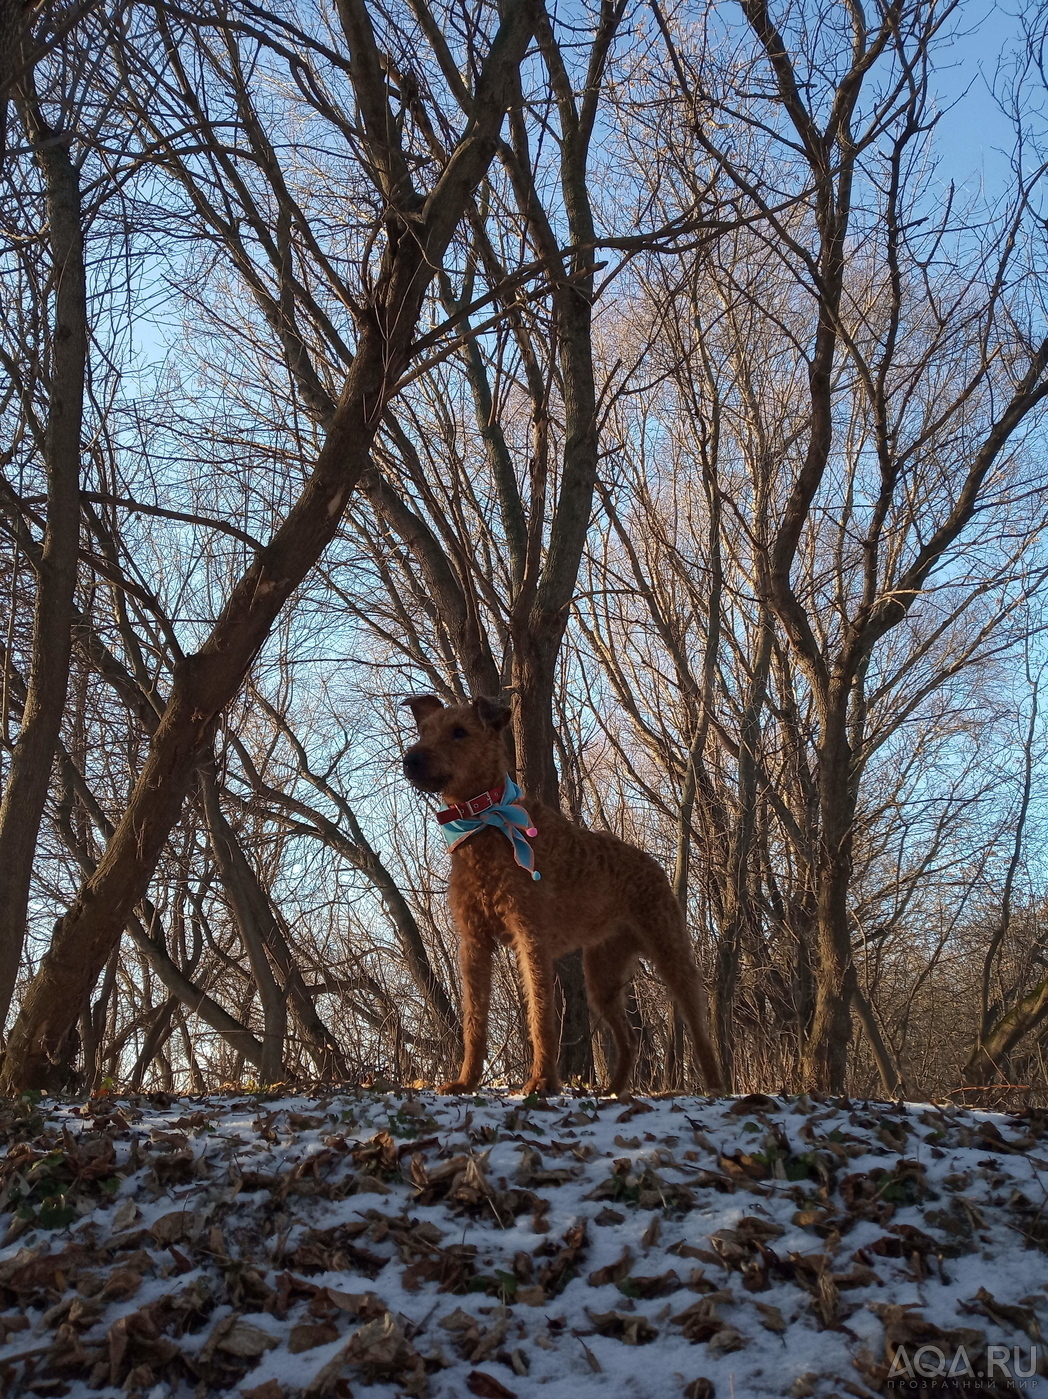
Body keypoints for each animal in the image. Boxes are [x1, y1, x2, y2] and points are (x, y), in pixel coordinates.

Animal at [400, 693, 721, 1096]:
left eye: (459, 732)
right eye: (424, 731)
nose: (411, 759)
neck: (486, 822)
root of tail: (652, 863)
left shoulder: (530, 937)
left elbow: (541, 1016)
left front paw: (541, 1081)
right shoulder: (474, 943)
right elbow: (474, 1020)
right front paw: (465, 1081)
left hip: (669, 950)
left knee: (699, 1027)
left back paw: (716, 1085)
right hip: (601, 974)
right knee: (629, 1039)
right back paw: (613, 1089)